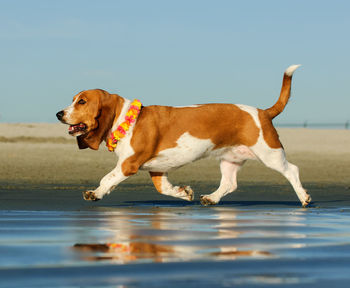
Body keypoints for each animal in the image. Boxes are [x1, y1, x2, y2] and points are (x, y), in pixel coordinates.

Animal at [56, 64, 312, 206]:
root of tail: (263, 112)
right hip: (230, 159)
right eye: (73, 99)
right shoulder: (157, 170)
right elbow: (163, 189)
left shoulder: (128, 164)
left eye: (81, 102)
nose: (59, 114)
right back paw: (212, 198)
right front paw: (184, 193)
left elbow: (107, 178)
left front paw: (96, 193)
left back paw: (303, 198)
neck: (124, 119)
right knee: (229, 184)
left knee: (292, 170)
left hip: (270, 154)